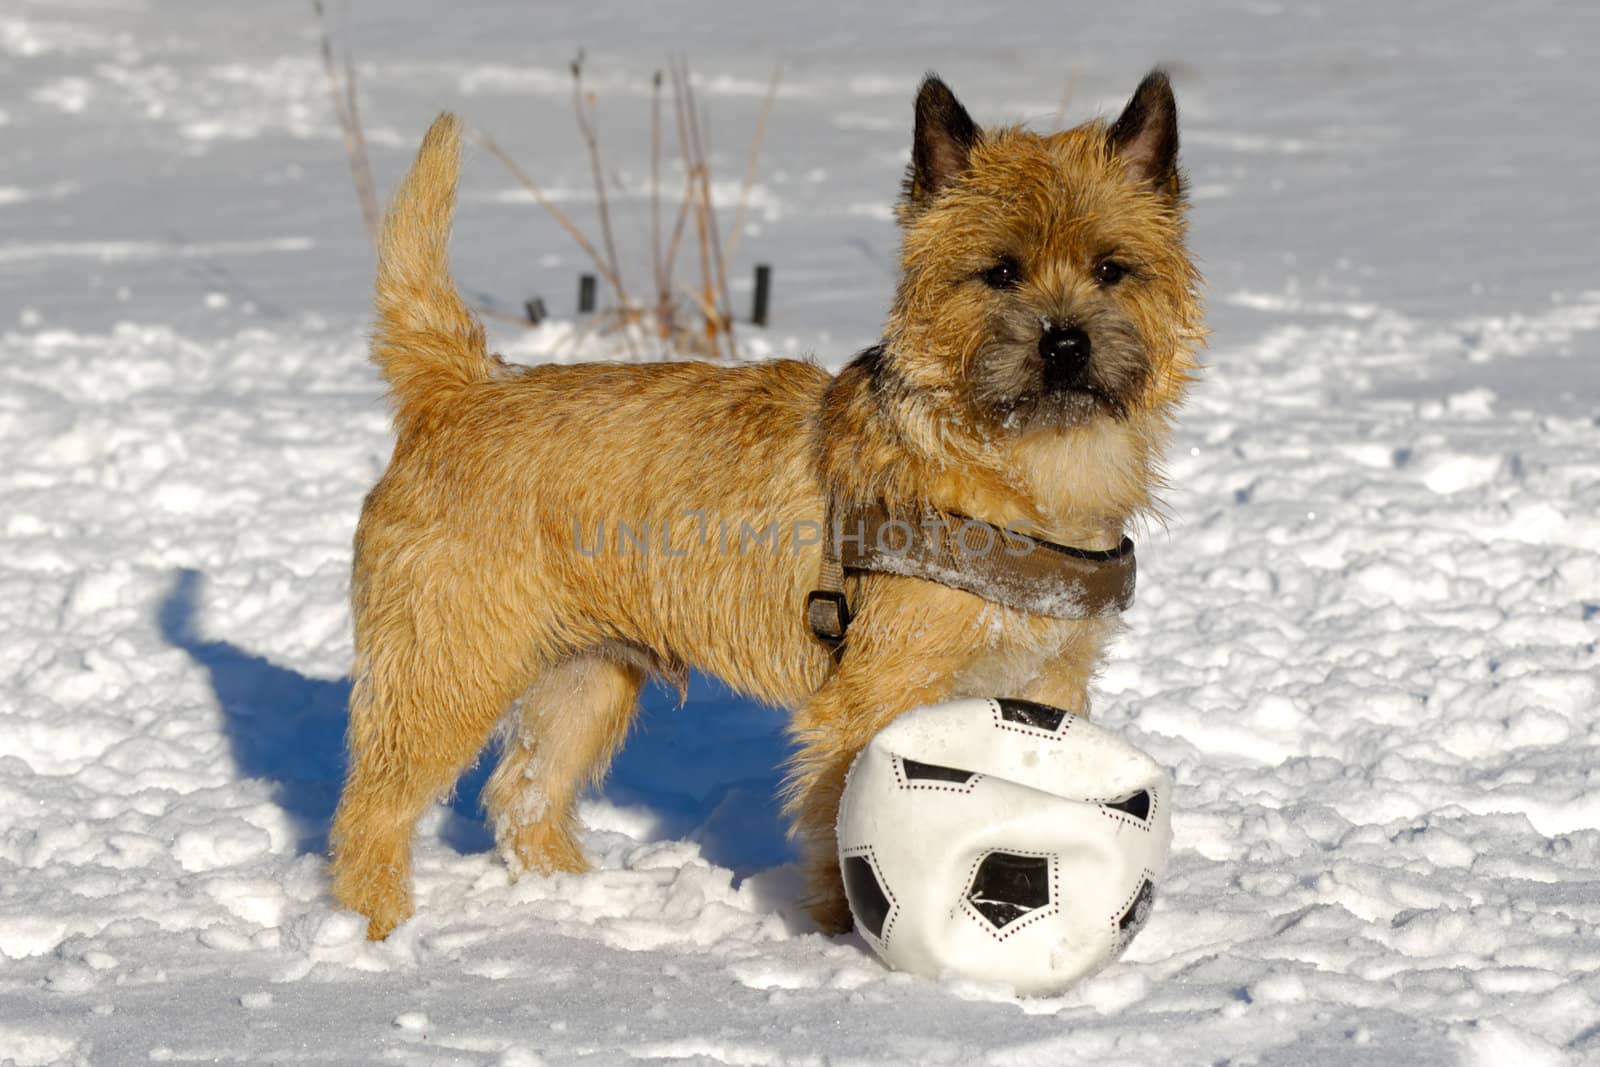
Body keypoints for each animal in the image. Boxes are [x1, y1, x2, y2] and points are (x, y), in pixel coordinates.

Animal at [328, 73, 1203, 940]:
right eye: (1000, 272)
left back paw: (579, 904)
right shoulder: (871, 697)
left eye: (1112, 268)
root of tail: (460, 385)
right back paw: (378, 932)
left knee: (525, 792)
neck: (1025, 465)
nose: (1065, 342)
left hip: (588, 674)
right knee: (374, 806)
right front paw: (843, 941)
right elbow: (844, 827)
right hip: (448, 664)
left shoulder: (1050, 681)